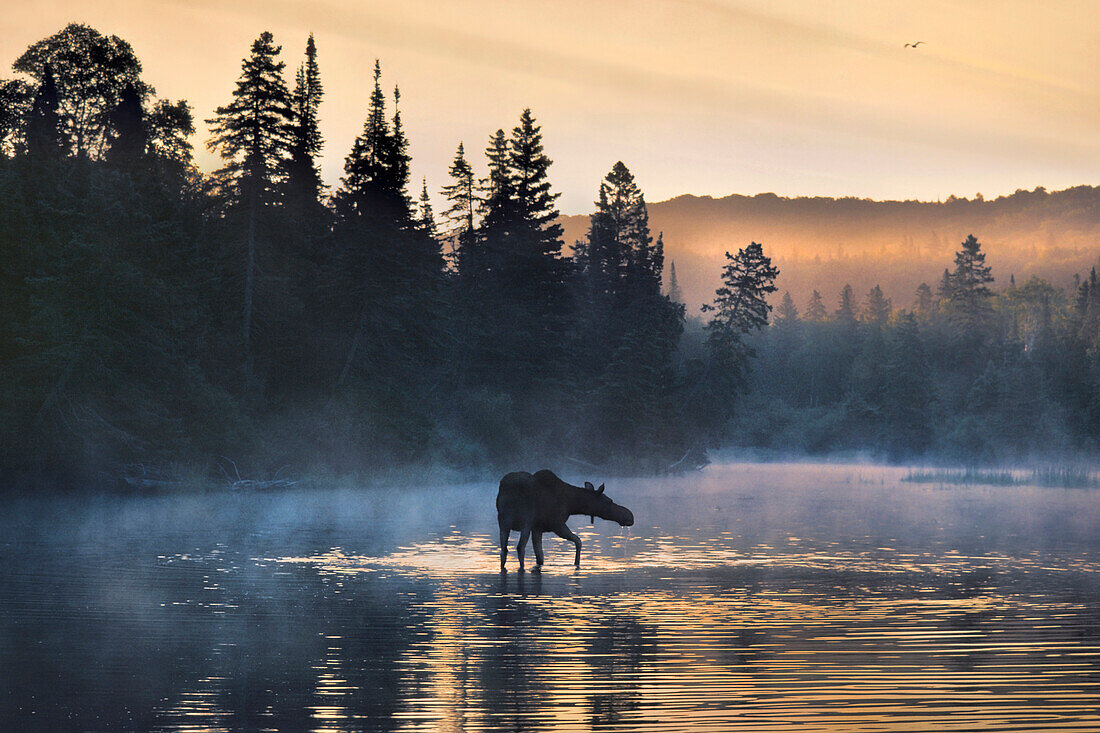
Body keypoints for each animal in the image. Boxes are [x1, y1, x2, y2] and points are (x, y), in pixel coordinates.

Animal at [495, 471, 633, 567]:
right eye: (609, 501)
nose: (629, 516)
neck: (572, 504)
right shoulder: (556, 524)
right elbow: (578, 541)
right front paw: (576, 563)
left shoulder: (537, 528)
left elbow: (540, 556)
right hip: (525, 521)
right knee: (520, 548)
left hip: (503, 522)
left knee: (504, 550)